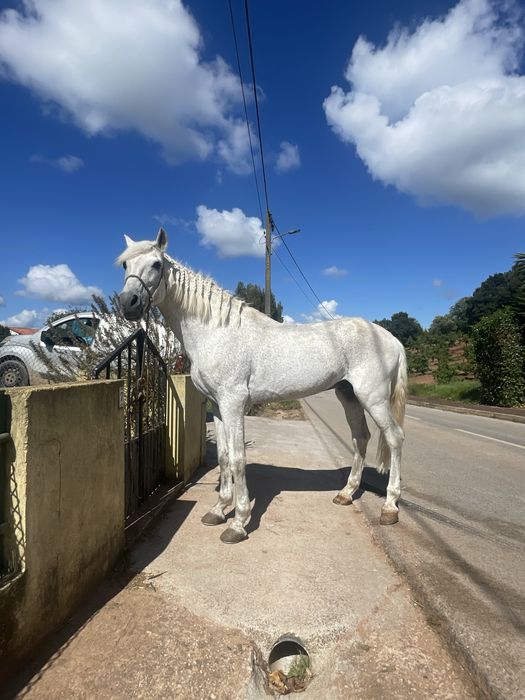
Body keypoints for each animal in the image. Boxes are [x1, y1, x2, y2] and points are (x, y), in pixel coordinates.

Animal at [117, 228, 407, 544]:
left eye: (156, 264)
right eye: (125, 265)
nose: (128, 303)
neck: (217, 331)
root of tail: (390, 338)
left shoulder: (233, 403)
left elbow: (238, 458)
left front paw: (238, 522)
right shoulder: (217, 406)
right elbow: (223, 457)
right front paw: (218, 511)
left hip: (373, 398)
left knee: (394, 438)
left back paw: (390, 508)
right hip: (348, 396)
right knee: (361, 438)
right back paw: (345, 494)